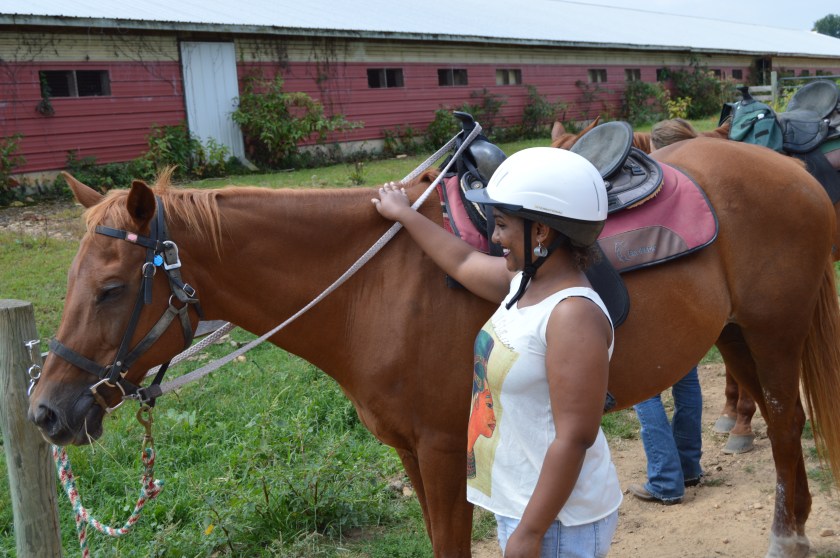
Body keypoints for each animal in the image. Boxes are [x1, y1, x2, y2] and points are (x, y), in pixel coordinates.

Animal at [28, 138, 840, 558]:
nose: (45, 413)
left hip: (773, 332)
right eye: (67, 282)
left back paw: (788, 534)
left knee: (786, 421)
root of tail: (789, 168)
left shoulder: (449, 447)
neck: (374, 285)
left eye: (110, 289)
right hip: (733, 332)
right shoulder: (411, 452)